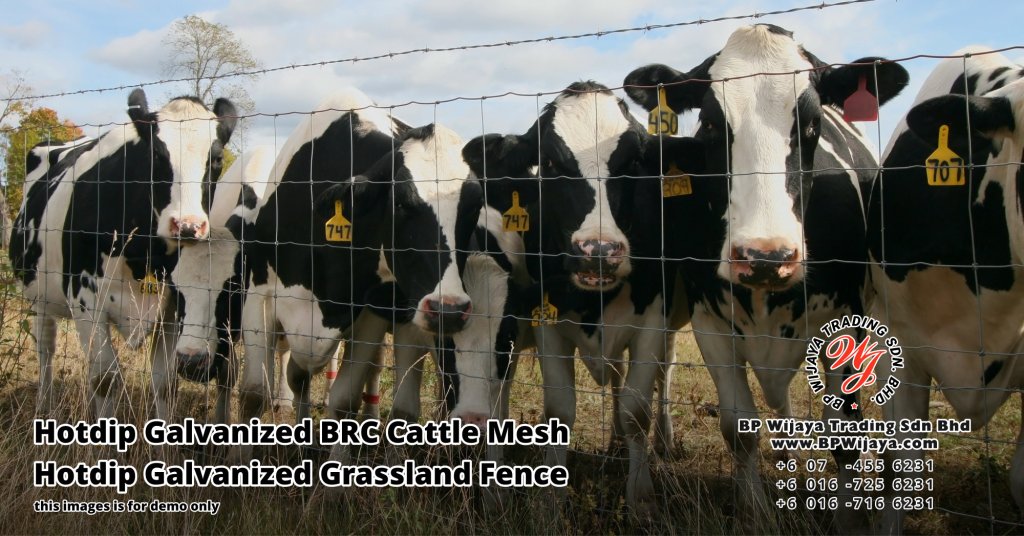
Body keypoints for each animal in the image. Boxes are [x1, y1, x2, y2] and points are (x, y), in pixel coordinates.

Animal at [8, 89, 237, 419]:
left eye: (217, 159)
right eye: (156, 156)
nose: (187, 225)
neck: (144, 254)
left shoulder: (171, 307)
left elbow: (165, 381)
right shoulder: (85, 299)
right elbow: (105, 378)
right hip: (39, 295)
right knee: (46, 349)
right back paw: (44, 407)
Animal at [461, 80, 688, 517]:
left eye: (634, 160)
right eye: (548, 162)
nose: (598, 251)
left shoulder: (654, 317)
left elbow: (637, 411)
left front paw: (641, 497)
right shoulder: (546, 324)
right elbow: (560, 410)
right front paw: (550, 498)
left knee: (663, 373)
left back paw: (662, 441)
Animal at [624, 24, 908, 527]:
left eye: (811, 124)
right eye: (711, 123)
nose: (764, 255)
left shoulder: (846, 321)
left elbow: (845, 432)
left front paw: (848, 517)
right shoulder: (711, 323)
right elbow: (738, 428)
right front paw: (754, 510)